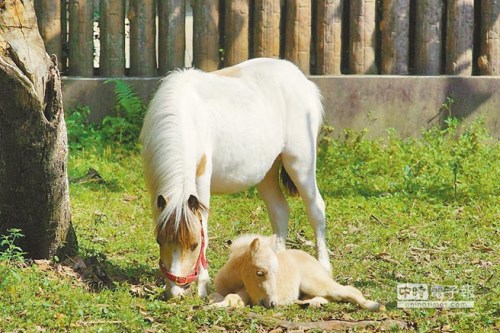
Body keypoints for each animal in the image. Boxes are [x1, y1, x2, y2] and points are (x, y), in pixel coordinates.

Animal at [141, 57, 328, 298]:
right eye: (159, 240)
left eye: (194, 245)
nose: (176, 292)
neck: (186, 116)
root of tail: (304, 82)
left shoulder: (202, 180)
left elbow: (204, 226)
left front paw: (203, 285)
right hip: (267, 172)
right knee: (279, 210)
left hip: (300, 163)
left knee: (316, 209)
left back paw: (324, 267)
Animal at [210, 233, 378, 312]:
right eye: (259, 273)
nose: (272, 304)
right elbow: (215, 296)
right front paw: (214, 303)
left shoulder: (248, 293)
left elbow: (234, 298)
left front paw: (215, 307)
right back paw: (309, 303)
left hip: (314, 283)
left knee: (348, 290)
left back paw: (373, 305)